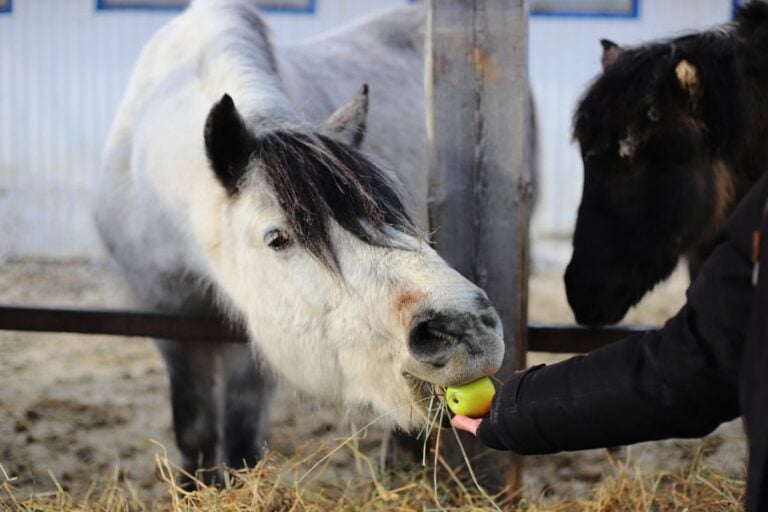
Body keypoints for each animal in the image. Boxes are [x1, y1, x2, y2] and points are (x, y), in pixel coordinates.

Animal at [94, 0, 505, 481]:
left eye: (395, 215)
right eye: (277, 239)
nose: (465, 330)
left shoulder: (255, 346)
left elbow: (242, 442)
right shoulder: (166, 317)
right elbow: (194, 434)